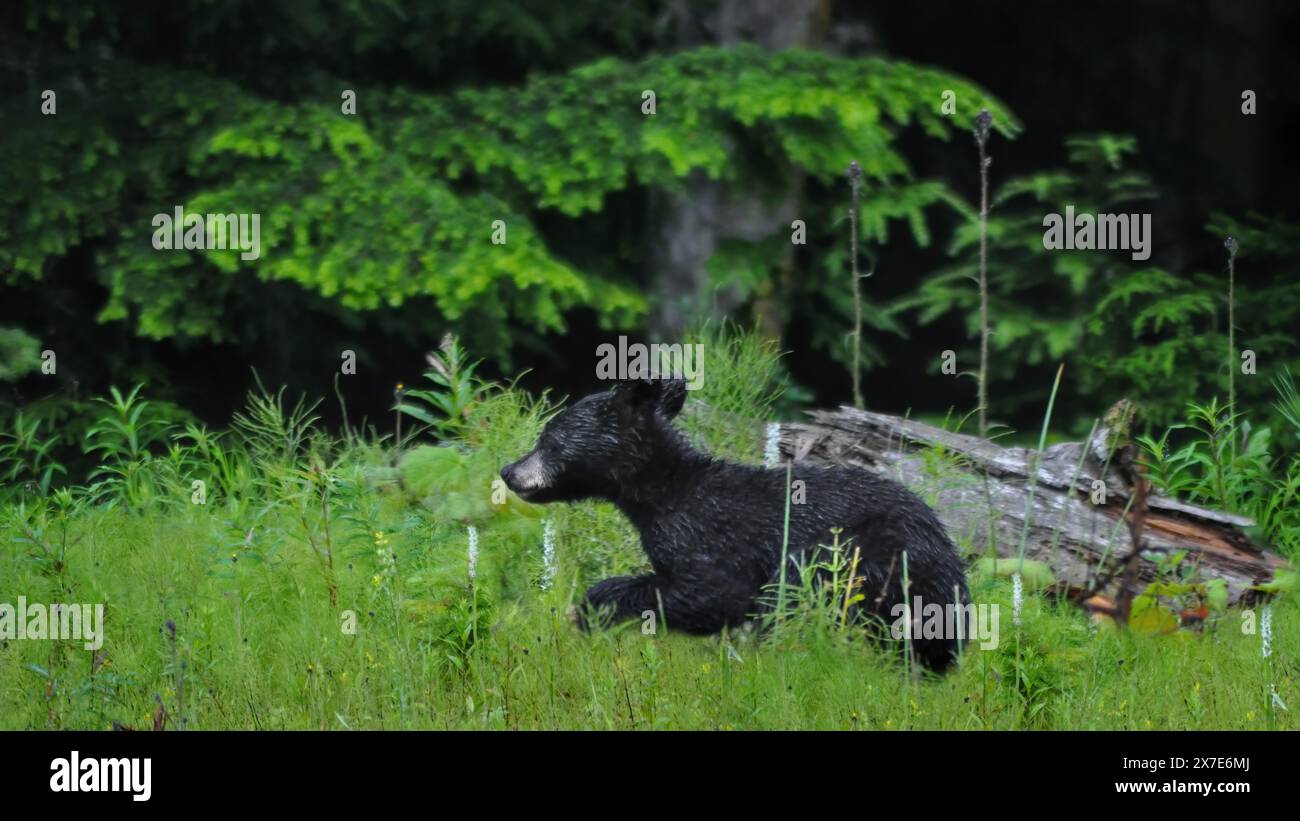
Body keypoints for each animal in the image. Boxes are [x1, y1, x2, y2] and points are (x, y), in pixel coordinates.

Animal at [500, 377, 972, 671]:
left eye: (548, 440)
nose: (509, 471)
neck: (662, 493)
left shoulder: (708, 538)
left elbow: (712, 594)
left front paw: (590, 607)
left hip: (866, 559)